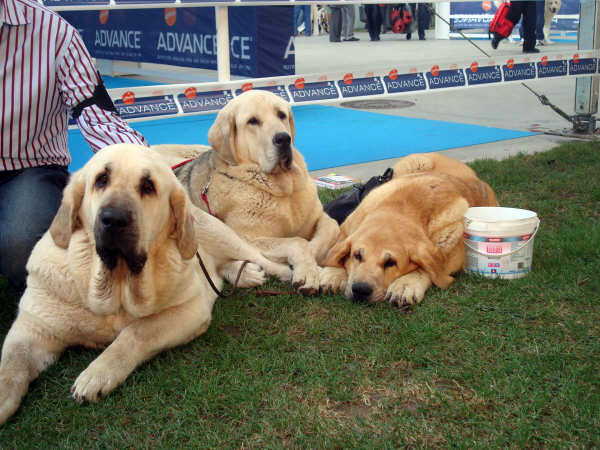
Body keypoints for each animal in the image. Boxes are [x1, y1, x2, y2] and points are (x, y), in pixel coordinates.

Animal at [0, 143, 290, 422]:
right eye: (101, 179)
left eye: (148, 186)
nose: (114, 219)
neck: (116, 285)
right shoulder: (33, 327)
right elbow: (11, 364)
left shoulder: (190, 310)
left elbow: (136, 332)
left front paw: (97, 374)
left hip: (219, 235)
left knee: (254, 256)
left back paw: (284, 273)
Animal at [152, 91, 340, 296]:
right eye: (253, 121)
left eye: (281, 114)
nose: (283, 139)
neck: (282, 189)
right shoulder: (249, 237)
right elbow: (296, 241)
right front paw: (306, 271)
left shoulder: (319, 217)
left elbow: (331, 227)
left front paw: (314, 259)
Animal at [322, 153, 500, 308]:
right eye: (357, 255)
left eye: (391, 263)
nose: (360, 289)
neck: (402, 206)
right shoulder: (346, 229)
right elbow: (335, 251)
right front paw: (334, 273)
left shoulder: (454, 256)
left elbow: (430, 269)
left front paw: (406, 284)